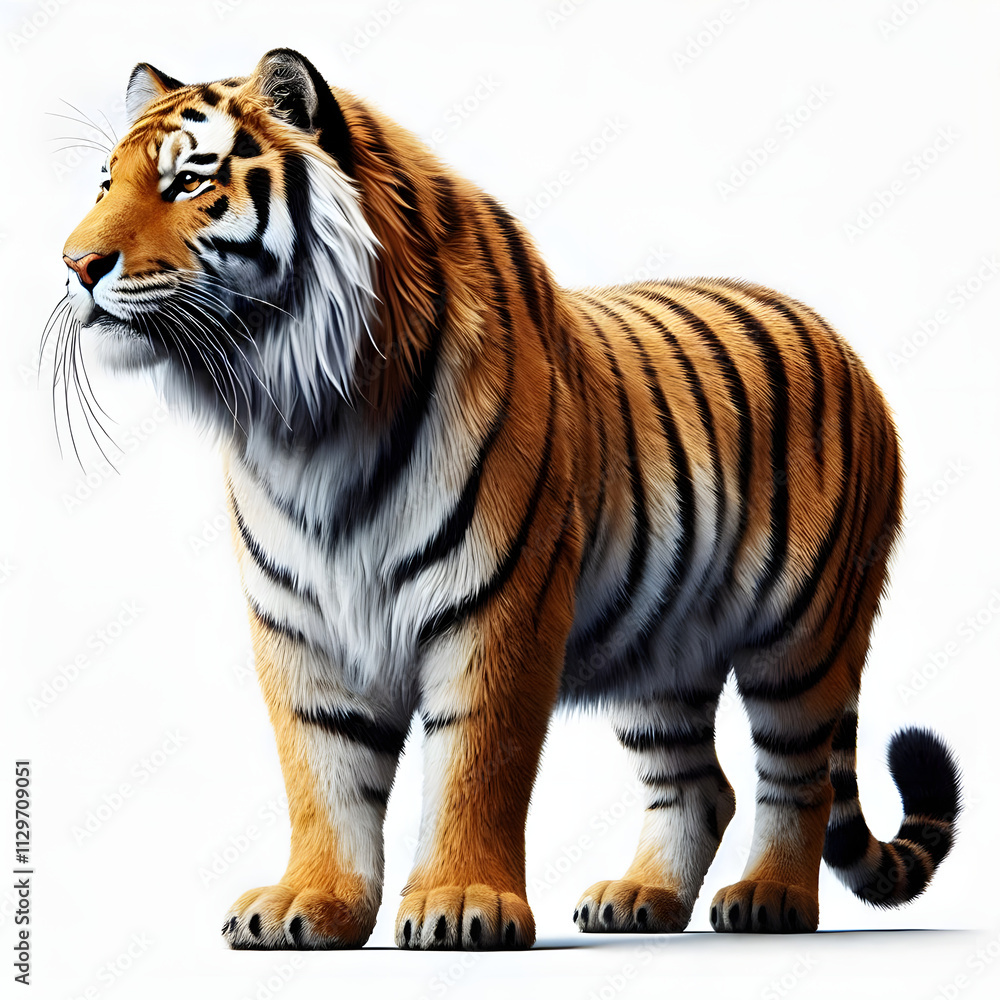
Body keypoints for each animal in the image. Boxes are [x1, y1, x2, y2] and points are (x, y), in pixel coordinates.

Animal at [56, 49, 960, 950]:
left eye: (187, 182)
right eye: (104, 186)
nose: (74, 265)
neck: (299, 417)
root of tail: (841, 343)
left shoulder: (497, 605)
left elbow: (475, 766)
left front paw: (461, 903)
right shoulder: (301, 627)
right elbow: (322, 777)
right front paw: (308, 904)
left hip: (804, 636)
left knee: (797, 778)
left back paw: (770, 898)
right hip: (666, 652)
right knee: (700, 785)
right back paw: (640, 899)